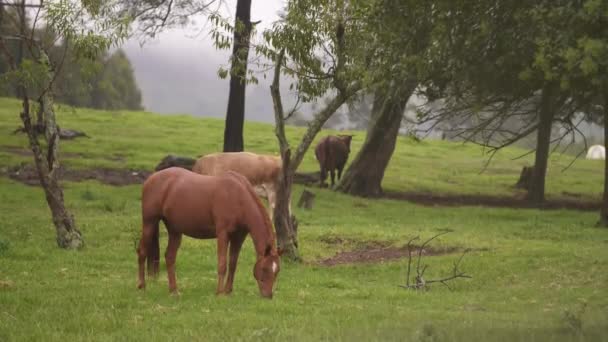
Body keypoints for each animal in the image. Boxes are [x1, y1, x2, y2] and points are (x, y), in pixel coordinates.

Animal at [137, 167, 282, 298]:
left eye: (277, 271)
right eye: (264, 269)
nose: (268, 295)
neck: (238, 197)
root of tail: (151, 178)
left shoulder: (238, 237)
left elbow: (233, 263)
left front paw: (228, 291)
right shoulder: (223, 234)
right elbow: (222, 263)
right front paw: (219, 293)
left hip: (174, 230)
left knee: (170, 257)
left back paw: (174, 291)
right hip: (150, 222)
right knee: (142, 251)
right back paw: (142, 286)